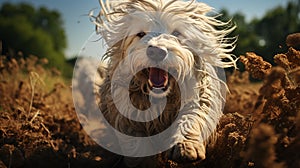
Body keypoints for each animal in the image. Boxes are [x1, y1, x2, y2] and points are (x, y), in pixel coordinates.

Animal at [91, 0, 237, 166]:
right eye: (141, 34)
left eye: (176, 33)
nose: (156, 51)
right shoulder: (127, 113)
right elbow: (137, 143)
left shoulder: (197, 98)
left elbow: (190, 118)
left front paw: (185, 146)